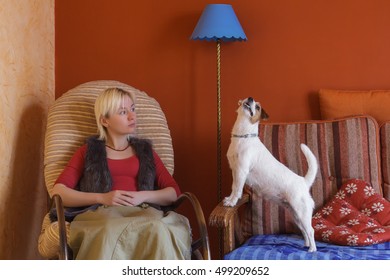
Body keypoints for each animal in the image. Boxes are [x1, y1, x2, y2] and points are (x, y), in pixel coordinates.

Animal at [224, 97, 318, 253]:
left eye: (257, 107)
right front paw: (229, 199)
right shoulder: (234, 171)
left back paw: (312, 250)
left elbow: (237, 190)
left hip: (302, 212)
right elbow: (233, 188)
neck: (243, 137)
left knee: (311, 231)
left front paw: (232, 203)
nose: (250, 98)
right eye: (248, 99)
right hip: (296, 215)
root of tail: (303, 182)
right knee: (304, 231)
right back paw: (306, 245)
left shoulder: (241, 171)